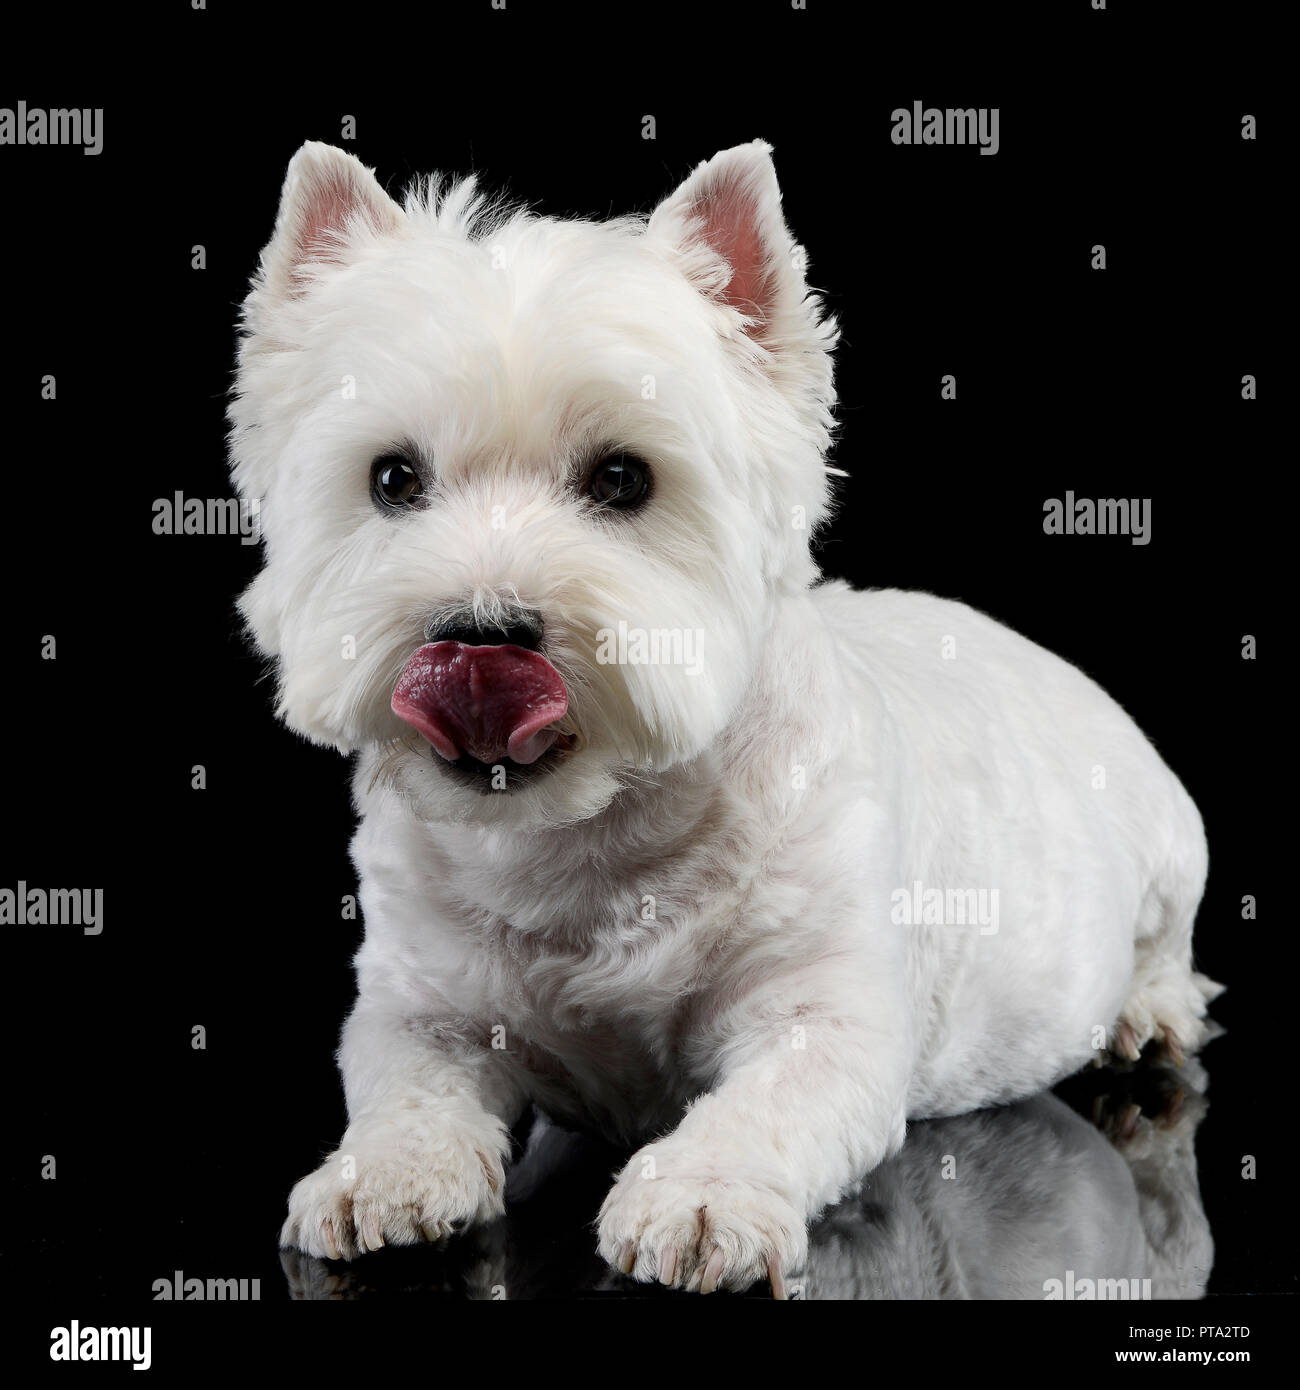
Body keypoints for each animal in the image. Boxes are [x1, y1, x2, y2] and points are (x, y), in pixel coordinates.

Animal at [230, 138, 1217, 1289]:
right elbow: (403, 1085)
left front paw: (699, 1199)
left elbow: (767, 1107)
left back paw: (1148, 1015)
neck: (581, 849)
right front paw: (377, 1173)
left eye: (623, 479)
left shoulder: (827, 1017)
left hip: (1164, 839)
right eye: (392, 478)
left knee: (1167, 940)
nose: (479, 637)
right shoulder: (418, 1003)